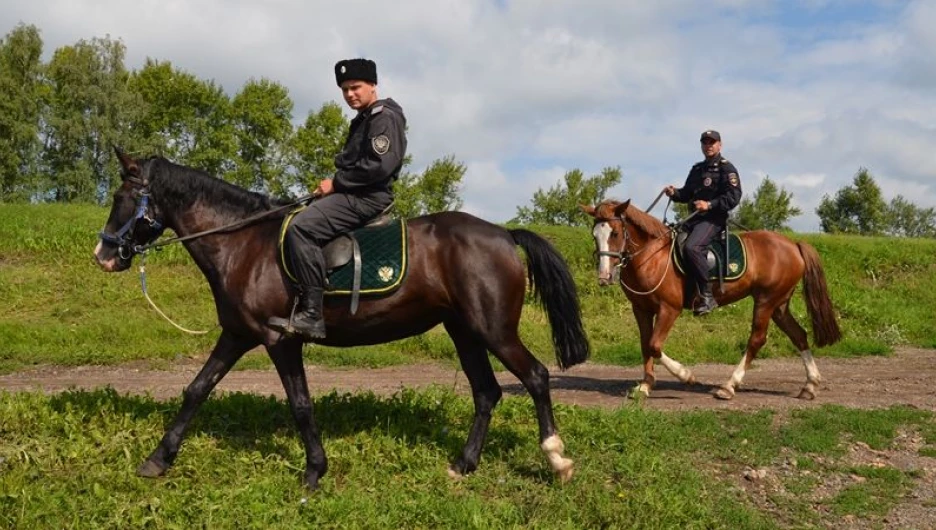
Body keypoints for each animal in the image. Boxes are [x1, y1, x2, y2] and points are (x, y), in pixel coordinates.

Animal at [97, 148, 592, 486]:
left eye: (122, 195)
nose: (103, 254)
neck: (244, 245)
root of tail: (504, 234)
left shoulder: (280, 341)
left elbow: (300, 404)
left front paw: (314, 471)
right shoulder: (237, 335)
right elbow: (196, 389)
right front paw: (158, 459)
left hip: (494, 330)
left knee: (536, 377)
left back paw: (557, 459)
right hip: (464, 332)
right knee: (487, 393)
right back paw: (464, 465)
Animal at [580, 200, 844, 398]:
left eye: (615, 233)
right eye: (594, 235)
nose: (604, 276)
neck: (651, 256)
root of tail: (793, 245)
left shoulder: (669, 309)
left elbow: (655, 345)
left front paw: (686, 375)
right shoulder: (641, 309)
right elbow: (646, 345)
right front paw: (645, 386)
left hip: (766, 301)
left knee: (757, 340)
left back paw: (729, 386)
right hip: (779, 305)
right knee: (799, 335)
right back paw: (810, 385)